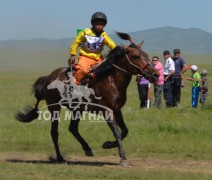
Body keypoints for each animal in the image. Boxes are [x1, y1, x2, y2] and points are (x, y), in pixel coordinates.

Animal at [15, 32, 159, 167]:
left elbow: (124, 131)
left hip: (77, 109)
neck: (111, 80)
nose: (155, 74)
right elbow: (117, 132)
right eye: (136, 56)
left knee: (72, 128)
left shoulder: (117, 110)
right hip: (54, 107)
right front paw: (123, 158)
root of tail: (49, 77)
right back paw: (61, 158)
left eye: (146, 54)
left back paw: (87, 149)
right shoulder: (106, 111)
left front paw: (107, 144)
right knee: (54, 132)